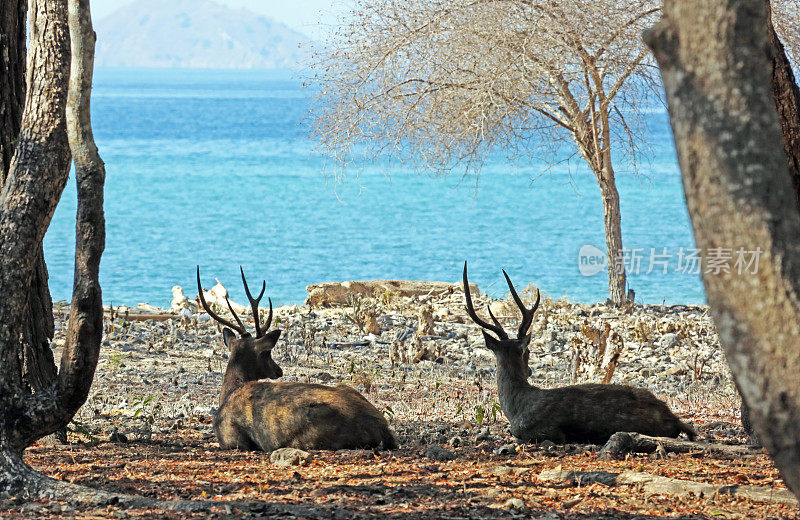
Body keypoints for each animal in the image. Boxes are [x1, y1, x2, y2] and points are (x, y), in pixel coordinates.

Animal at [198, 268, 398, 450]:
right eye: (267, 353)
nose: (278, 370)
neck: (229, 392)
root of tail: (382, 429)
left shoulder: (232, 439)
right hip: (346, 387)